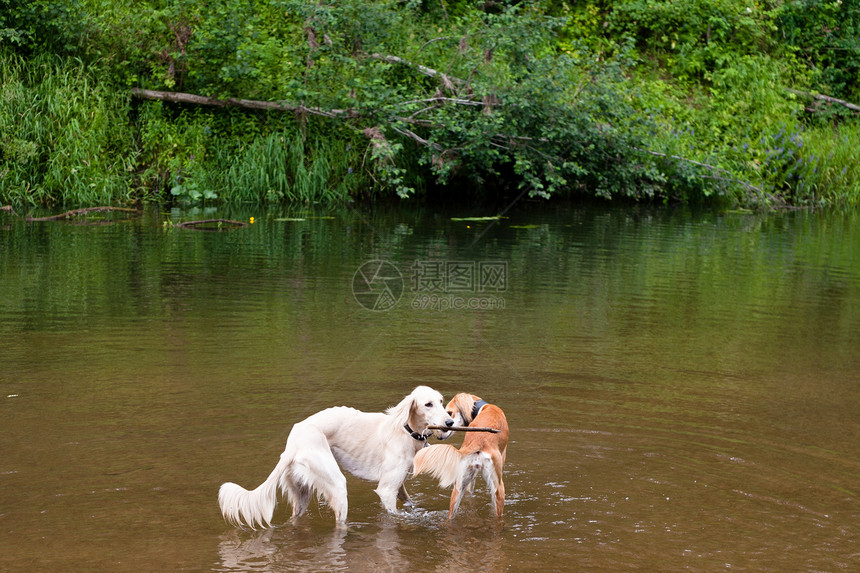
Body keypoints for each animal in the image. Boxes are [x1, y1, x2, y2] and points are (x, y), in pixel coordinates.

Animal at [218, 384, 454, 528]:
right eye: (428, 404)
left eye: (442, 401)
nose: (450, 423)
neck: (405, 430)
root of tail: (293, 444)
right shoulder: (386, 490)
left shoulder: (399, 486)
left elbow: (410, 502)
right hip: (336, 484)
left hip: (301, 493)